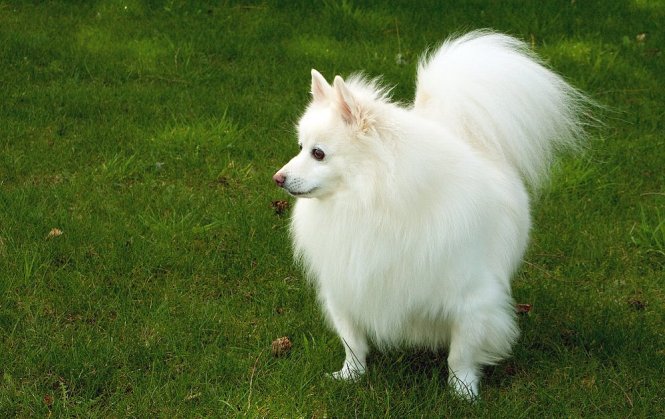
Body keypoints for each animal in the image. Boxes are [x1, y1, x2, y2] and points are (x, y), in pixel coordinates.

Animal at [272, 31, 588, 398]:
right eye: (299, 147)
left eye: (318, 153)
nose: (278, 178)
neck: (369, 204)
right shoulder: (346, 287)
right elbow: (352, 341)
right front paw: (350, 376)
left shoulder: (472, 298)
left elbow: (460, 354)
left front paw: (463, 392)